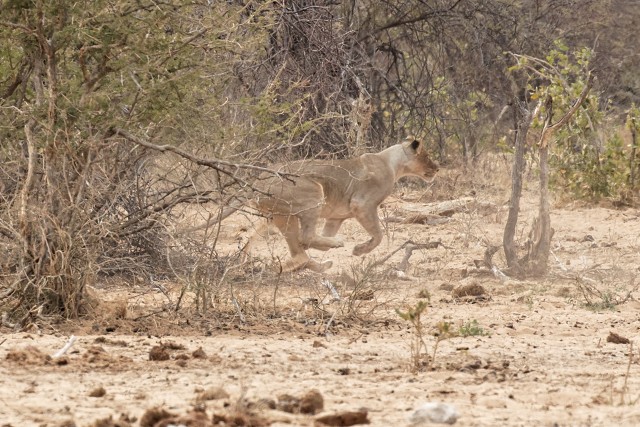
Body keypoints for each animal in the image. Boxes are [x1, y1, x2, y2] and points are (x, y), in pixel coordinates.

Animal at [247, 136, 439, 273]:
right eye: (427, 156)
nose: (437, 168)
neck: (393, 163)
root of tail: (257, 182)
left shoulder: (335, 218)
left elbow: (324, 236)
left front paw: (329, 245)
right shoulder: (362, 204)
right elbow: (379, 235)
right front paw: (360, 250)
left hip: (280, 215)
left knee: (297, 250)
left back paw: (322, 263)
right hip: (313, 193)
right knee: (306, 238)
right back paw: (336, 243)